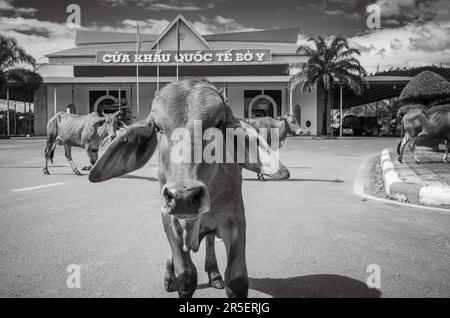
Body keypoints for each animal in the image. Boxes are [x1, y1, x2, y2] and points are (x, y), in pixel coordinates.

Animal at [89, 80, 290, 298]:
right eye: (157, 127)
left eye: (219, 123)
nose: (183, 196)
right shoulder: (169, 217)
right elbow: (186, 275)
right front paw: (174, 276)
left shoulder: (236, 219)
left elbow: (237, 279)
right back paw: (170, 277)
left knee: (210, 241)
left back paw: (214, 273)